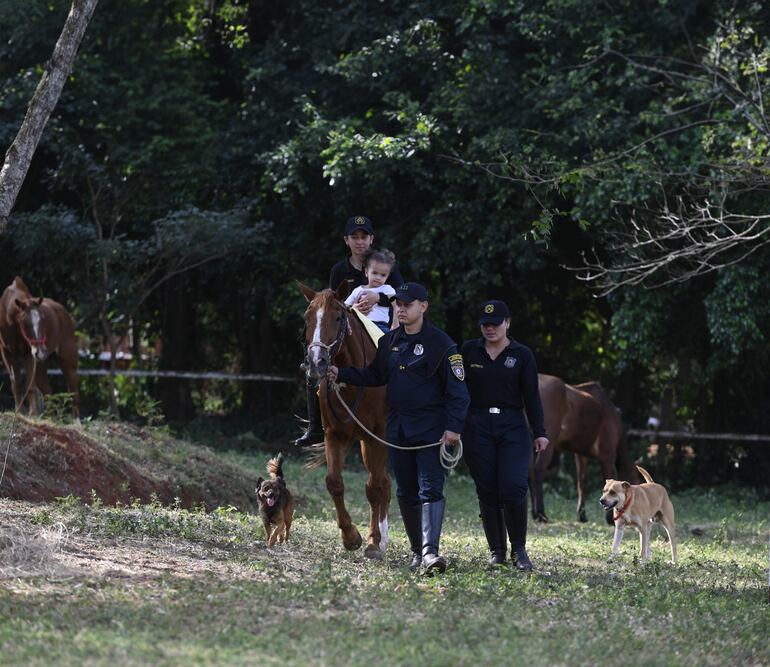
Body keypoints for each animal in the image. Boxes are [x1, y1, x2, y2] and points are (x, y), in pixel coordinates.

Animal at [0, 276, 79, 418]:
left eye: (43, 319)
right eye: (24, 322)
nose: (41, 351)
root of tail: (63, 312)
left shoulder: (28, 353)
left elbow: (30, 385)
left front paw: (32, 414)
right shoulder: (7, 353)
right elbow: (16, 384)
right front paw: (19, 412)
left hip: (68, 360)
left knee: (73, 391)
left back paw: (76, 421)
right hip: (41, 364)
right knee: (47, 391)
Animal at [296, 280, 390, 560]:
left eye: (337, 317)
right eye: (307, 318)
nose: (316, 362)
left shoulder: (376, 437)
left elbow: (373, 488)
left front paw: (372, 543)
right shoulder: (334, 435)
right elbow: (334, 483)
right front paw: (351, 537)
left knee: (382, 483)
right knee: (386, 482)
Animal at [528, 374, 636, 524]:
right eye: (637, 481)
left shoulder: (580, 454)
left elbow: (582, 483)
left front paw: (582, 515)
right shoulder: (608, 453)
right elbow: (607, 480)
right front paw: (609, 518)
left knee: (529, 472)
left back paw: (534, 513)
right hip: (547, 441)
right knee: (538, 470)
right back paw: (541, 513)